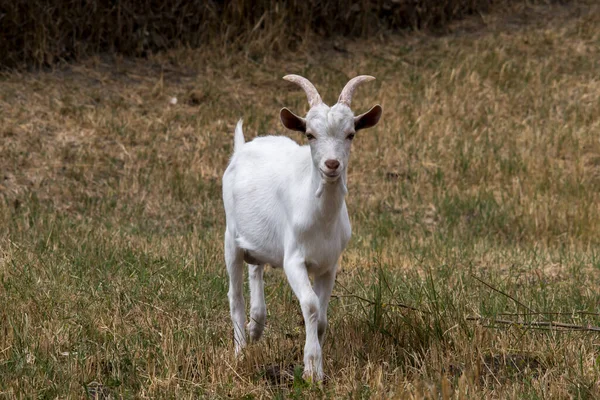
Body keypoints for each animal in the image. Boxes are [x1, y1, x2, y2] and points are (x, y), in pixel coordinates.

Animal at [223, 74, 382, 382]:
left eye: (351, 134)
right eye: (310, 134)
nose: (331, 164)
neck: (321, 218)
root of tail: (242, 148)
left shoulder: (329, 264)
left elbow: (321, 316)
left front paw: (315, 359)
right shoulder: (293, 259)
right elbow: (309, 305)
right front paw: (312, 369)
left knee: (255, 269)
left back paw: (256, 326)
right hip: (230, 238)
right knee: (235, 296)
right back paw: (240, 351)